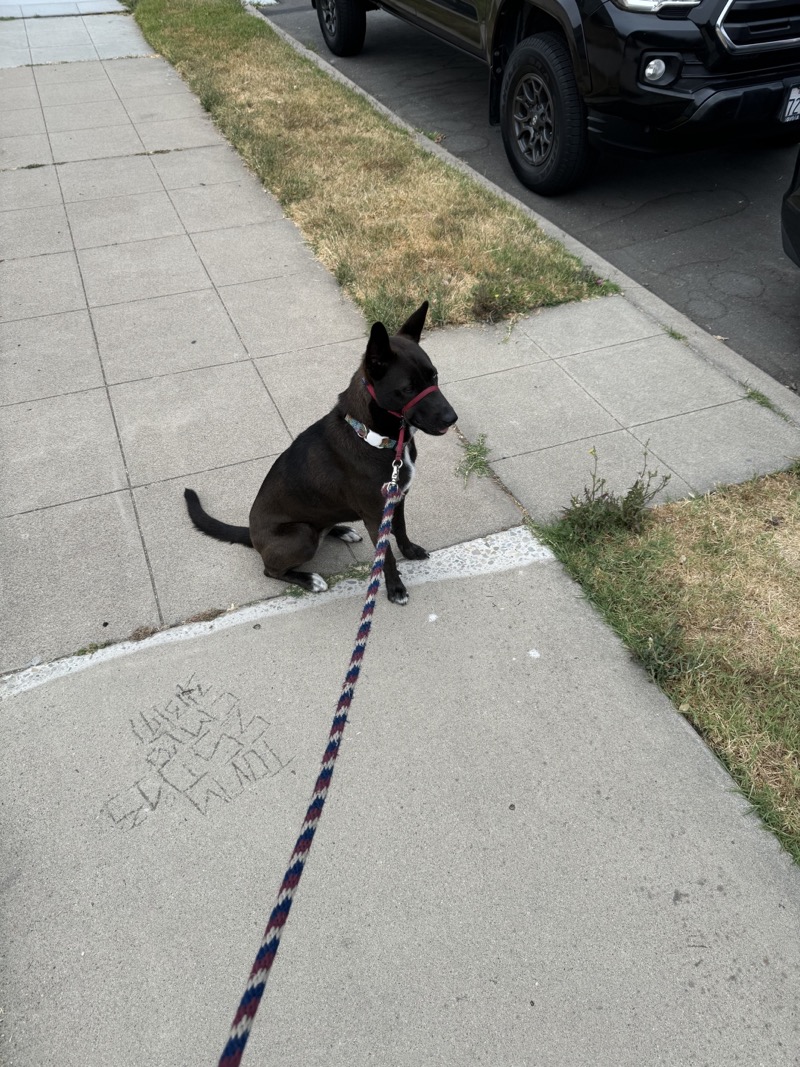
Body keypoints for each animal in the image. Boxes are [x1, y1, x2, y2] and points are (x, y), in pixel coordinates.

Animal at [183, 305, 456, 606]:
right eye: (408, 389)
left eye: (434, 376)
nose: (452, 418)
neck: (373, 437)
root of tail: (253, 535)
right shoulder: (375, 514)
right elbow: (385, 558)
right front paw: (395, 588)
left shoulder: (397, 498)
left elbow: (401, 530)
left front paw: (410, 551)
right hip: (301, 535)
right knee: (271, 570)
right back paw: (308, 579)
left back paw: (341, 529)